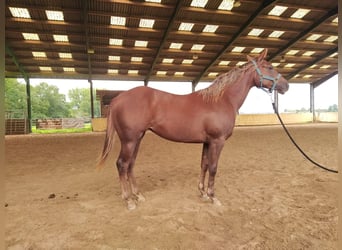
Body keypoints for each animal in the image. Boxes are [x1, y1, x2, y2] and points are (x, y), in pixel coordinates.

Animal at [96, 48, 288, 209]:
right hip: (129, 140)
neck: (222, 99)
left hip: (137, 138)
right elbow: (213, 167)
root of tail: (118, 98)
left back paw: (138, 195)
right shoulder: (217, 141)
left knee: (130, 164)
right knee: (122, 164)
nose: (286, 86)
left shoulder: (207, 142)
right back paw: (129, 200)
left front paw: (202, 193)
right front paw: (213, 197)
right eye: (270, 67)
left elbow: (204, 164)